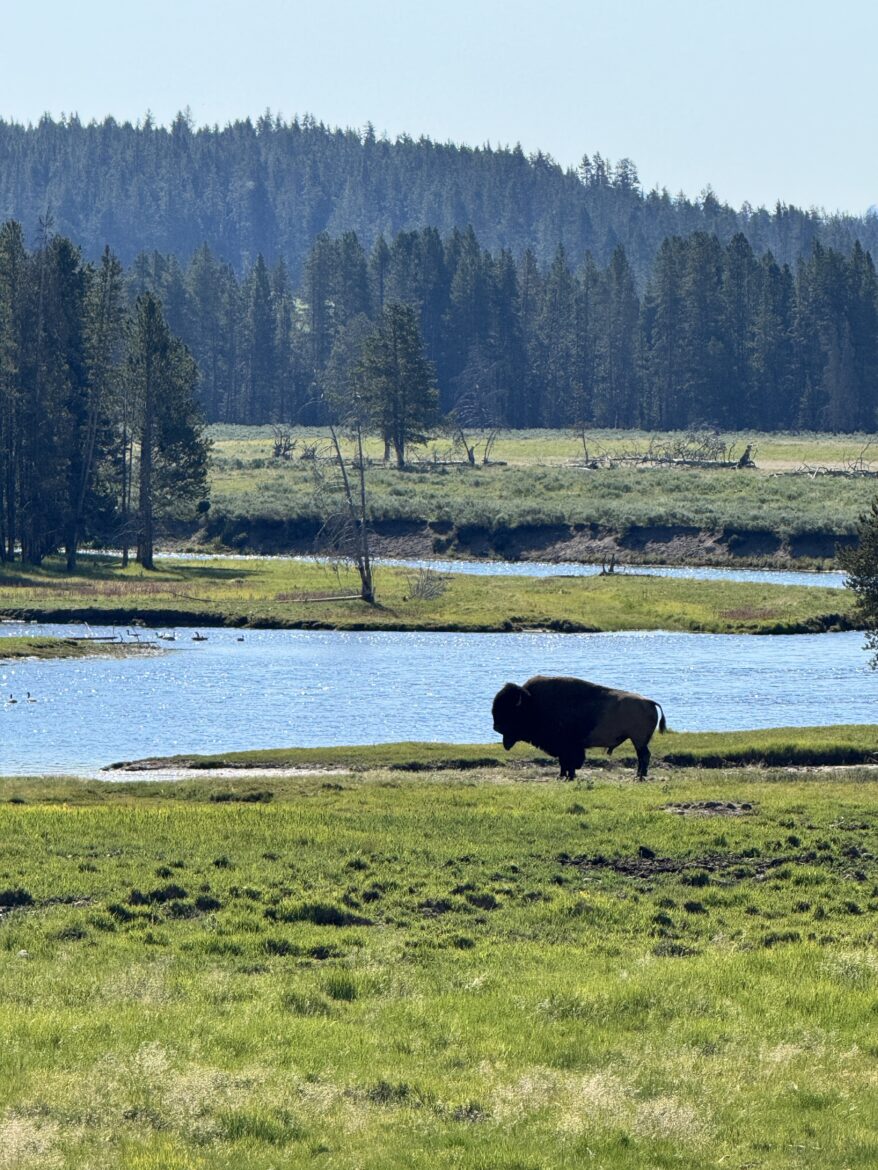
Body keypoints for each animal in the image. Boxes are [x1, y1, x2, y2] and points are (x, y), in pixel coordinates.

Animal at [492, 675, 666, 780]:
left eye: (510, 711)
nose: (496, 727)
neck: (533, 703)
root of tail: (650, 702)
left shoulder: (568, 747)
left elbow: (569, 761)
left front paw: (568, 776)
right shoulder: (564, 748)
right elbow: (564, 762)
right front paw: (562, 776)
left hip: (638, 740)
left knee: (644, 756)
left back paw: (640, 776)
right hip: (638, 740)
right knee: (642, 756)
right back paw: (639, 775)